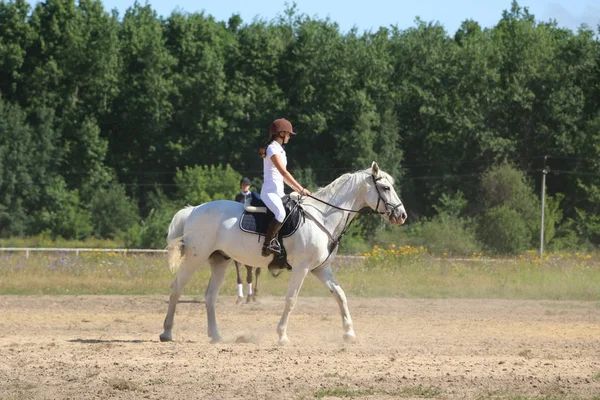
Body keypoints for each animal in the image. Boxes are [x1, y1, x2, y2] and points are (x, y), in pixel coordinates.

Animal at [159, 162, 406, 344]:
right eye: (386, 188)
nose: (401, 215)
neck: (323, 216)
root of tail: (194, 209)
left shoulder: (321, 268)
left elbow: (340, 295)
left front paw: (349, 334)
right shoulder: (302, 268)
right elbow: (291, 299)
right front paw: (282, 336)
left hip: (220, 261)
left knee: (210, 296)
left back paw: (216, 337)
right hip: (195, 258)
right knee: (176, 289)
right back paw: (167, 333)